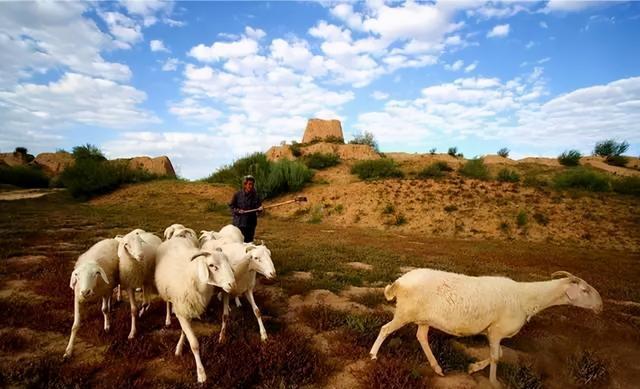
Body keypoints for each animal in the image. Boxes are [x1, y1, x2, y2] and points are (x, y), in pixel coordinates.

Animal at [155, 238, 238, 380]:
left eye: (228, 263)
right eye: (212, 265)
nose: (232, 284)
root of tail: (176, 238)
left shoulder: (189, 308)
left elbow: (185, 331)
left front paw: (179, 347)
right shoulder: (181, 308)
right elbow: (194, 343)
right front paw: (201, 373)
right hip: (166, 291)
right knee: (167, 303)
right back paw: (168, 319)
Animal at [368, 270, 604, 384]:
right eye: (585, 290)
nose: (601, 306)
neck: (526, 297)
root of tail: (399, 282)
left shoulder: (493, 332)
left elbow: (497, 354)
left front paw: (473, 368)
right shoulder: (497, 331)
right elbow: (496, 356)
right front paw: (491, 381)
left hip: (423, 318)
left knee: (421, 336)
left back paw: (437, 368)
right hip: (405, 312)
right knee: (385, 329)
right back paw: (373, 355)